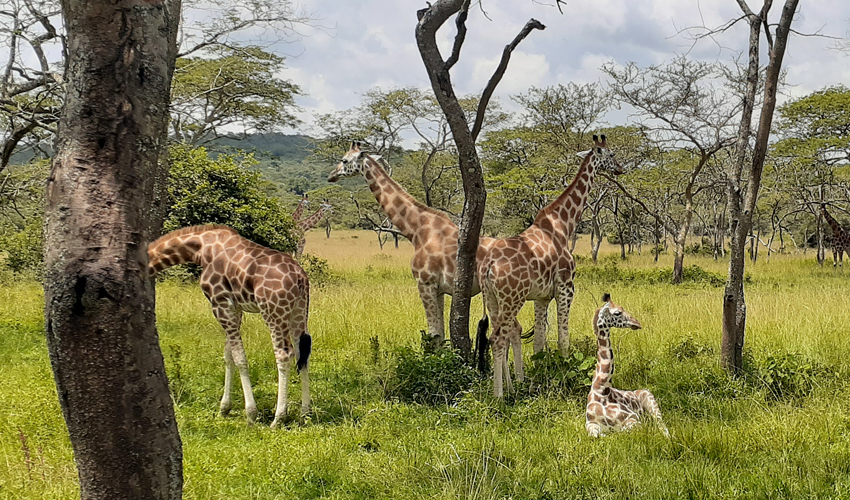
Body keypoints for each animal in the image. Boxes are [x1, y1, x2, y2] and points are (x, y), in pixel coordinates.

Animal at [147, 225, 310, 428]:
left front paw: (251, 413)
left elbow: (239, 358)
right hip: (299, 311)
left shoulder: (220, 304)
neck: (201, 248)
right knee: (302, 353)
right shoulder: (235, 308)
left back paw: (278, 418)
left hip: (273, 312)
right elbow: (228, 356)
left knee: (284, 354)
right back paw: (305, 413)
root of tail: (300, 277)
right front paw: (224, 408)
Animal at [326, 141, 536, 344]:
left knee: (511, 329)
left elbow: (433, 334)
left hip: (505, 293)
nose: (331, 176)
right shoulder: (439, 289)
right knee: (514, 329)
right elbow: (440, 335)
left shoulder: (425, 283)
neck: (418, 230)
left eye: (344, 160)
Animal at [476, 134, 624, 398]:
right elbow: (563, 337)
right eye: (612, 154)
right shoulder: (566, 287)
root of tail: (489, 266)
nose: (621, 168)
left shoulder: (542, 296)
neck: (563, 224)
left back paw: (508, 389)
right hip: (512, 298)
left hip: (492, 298)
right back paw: (499, 396)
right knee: (497, 338)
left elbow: (538, 341)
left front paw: (536, 380)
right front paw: (566, 375)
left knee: (498, 334)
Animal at [584, 292, 668, 438]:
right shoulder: (590, 424)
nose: (637, 323)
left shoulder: (632, 418)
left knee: (661, 423)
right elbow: (598, 435)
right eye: (617, 312)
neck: (602, 390)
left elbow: (624, 432)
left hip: (651, 401)